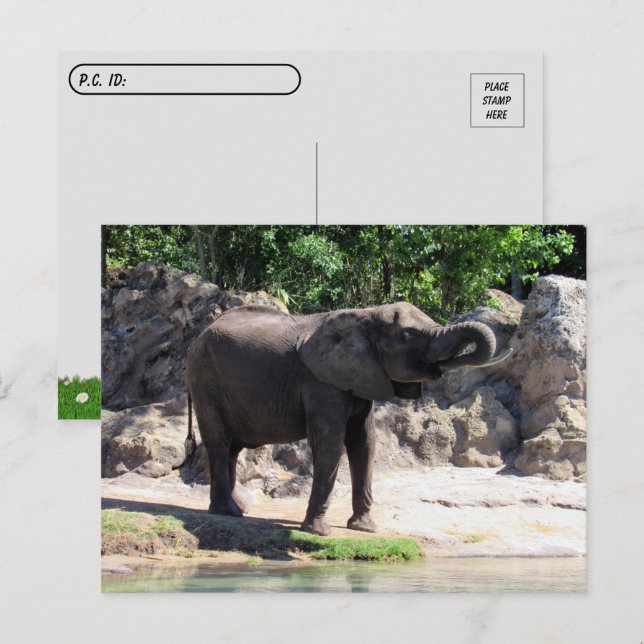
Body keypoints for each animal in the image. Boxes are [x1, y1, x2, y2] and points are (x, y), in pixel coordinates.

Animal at [185, 302, 511, 536]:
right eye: (406, 336)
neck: (365, 315)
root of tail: (198, 336)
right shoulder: (322, 382)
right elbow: (331, 443)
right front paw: (318, 532)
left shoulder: (361, 376)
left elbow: (365, 443)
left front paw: (365, 528)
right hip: (204, 377)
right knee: (219, 442)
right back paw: (228, 511)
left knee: (232, 447)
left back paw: (236, 510)